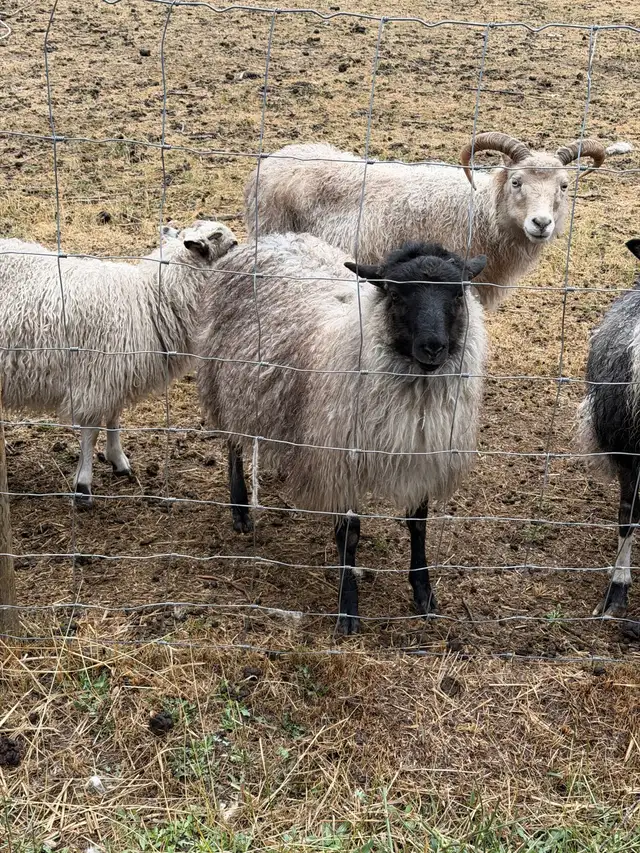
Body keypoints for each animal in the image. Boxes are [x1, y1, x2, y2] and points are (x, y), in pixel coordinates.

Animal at [0, 220, 237, 506]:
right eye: (227, 242)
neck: (150, 299)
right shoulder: (96, 378)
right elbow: (91, 432)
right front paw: (83, 485)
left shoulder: (114, 374)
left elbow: (114, 416)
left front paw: (118, 460)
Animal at [197, 232, 488, 634]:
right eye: (395, 294)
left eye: (458, 294)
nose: (433, 347)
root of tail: (266, 239)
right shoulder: (341, 457)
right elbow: (349, 536)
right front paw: (347, 610)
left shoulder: (421, 454)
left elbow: (418, 526)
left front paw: (424, 594)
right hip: (225, 383)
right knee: (233, 445)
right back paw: (240, 510)